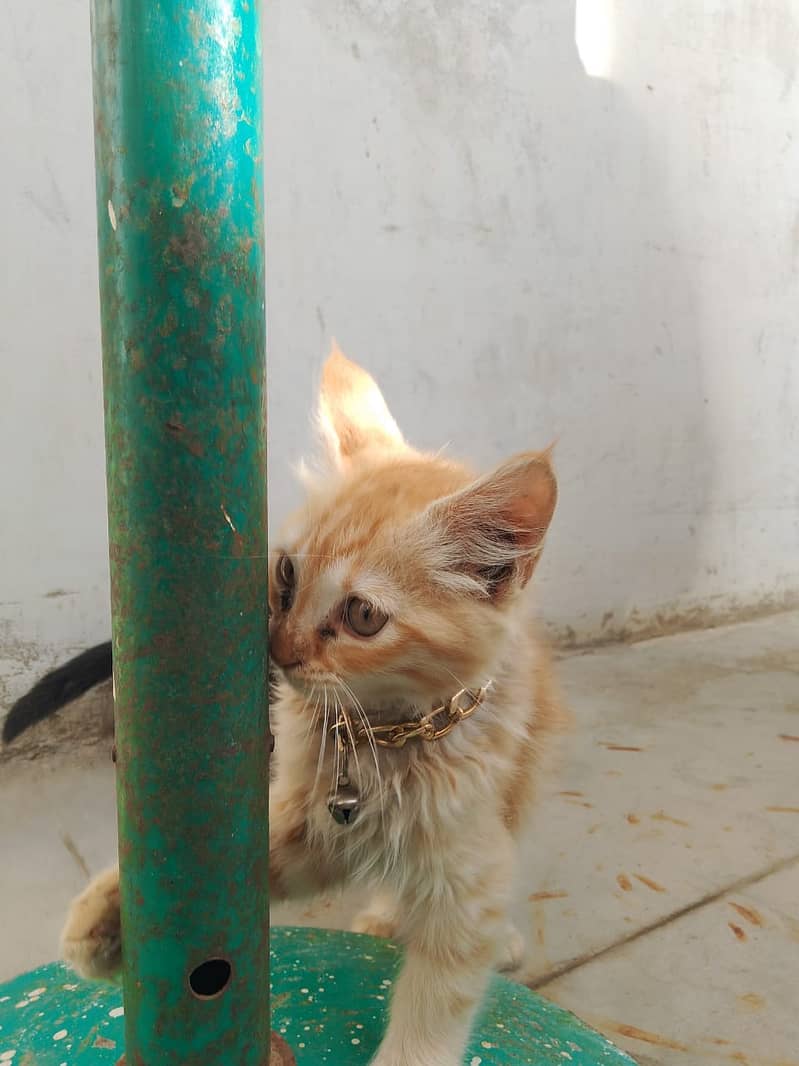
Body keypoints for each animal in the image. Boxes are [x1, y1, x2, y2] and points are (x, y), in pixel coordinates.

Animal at [60, 347, 562, 1066]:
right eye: (287, 574)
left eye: (362, 616)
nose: (280, 648)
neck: (384, 736)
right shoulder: (309, 825)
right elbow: (241, 862)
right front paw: (109, 917)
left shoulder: (469, 879)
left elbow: (435, 1004)